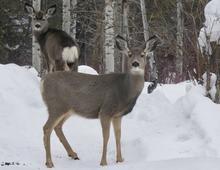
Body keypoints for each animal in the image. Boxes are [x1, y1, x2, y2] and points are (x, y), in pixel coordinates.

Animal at [40, 34, 160, 167]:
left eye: (143, 54)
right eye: (129, 54)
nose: (135, 63)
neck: (123, 90)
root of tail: (43, 81)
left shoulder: (117, 115)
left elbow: (118, 136)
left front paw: (120, 160)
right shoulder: (105, 111)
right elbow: (106, 136)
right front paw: (103, 162)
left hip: (67, 109)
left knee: (57, 127)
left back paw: (73, 154)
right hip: (56, 106)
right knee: (47, 128)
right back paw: (49, 162)